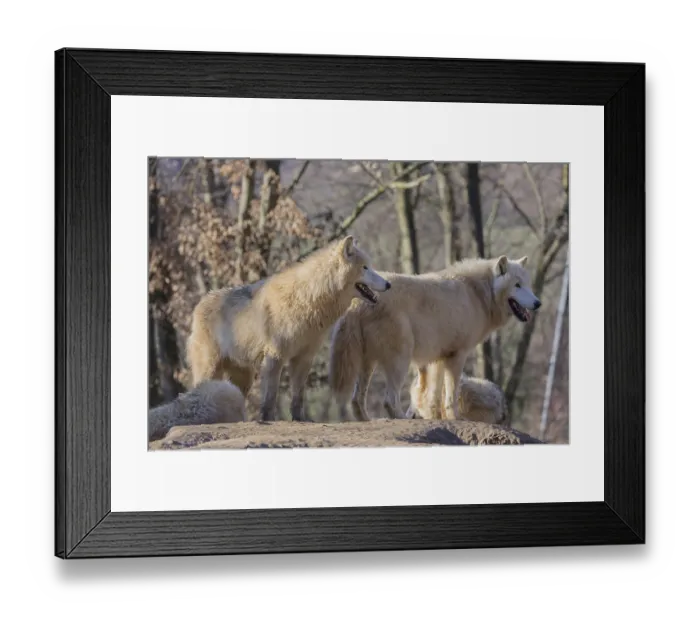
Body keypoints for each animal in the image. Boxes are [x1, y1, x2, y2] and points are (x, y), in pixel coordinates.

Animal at [186, 235, 390, 422]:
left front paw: (300, 419)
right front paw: (268, 419)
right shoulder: (275, 356)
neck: (308, 298)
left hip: (243, 378)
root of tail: (200, 303)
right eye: (365, 267)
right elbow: (270, 396)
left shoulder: (304, 358)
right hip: (210, 369)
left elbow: (298, 395)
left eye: (370, 266)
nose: (388, 284)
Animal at [329, 255, 540, 422]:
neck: (478, 295)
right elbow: (451, 395)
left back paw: (368, 420)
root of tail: (357, 303)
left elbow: (434, 396)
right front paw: (455, 418)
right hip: (400, 360)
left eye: (528, 285)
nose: (538, 303)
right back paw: (401, 418)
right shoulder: (458, 355)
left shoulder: (437, 359)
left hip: (368, 363)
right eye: (517, 285)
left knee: (356, 399)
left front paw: (436, 417)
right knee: (389, 400)